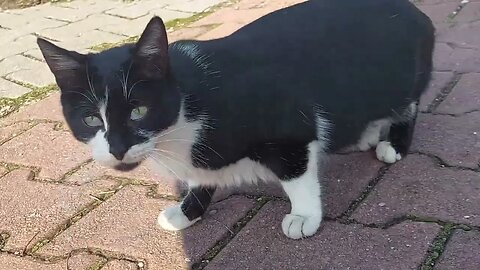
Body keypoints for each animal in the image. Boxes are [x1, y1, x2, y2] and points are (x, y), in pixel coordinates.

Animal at [37, 0, 436, 240]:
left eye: (138, 110)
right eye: (91, 119)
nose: (117, 149)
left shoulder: (290, 124)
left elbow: (296, 172)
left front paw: (305, 215)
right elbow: (200, 177)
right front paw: (188, 211)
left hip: (399, 77)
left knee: (409, 104)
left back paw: (393, 142)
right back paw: (365, 133)